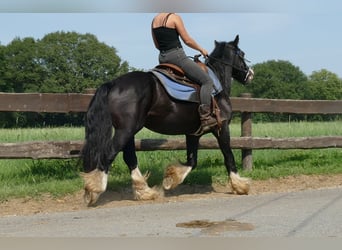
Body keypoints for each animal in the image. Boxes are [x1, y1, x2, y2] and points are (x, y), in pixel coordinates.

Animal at [81, 35, 254, 205]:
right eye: (242, 54)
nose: (250, 74)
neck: (216, 87)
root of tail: (113, 83)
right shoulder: (222, 127)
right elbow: (228, 157)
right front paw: (240, 185)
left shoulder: (193, 134)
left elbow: (192, 161)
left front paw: (171, 178)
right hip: (125, 130)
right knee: (108, 155)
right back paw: (94, 190)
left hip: (128, 131)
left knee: (129, 158)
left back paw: (145, 191)